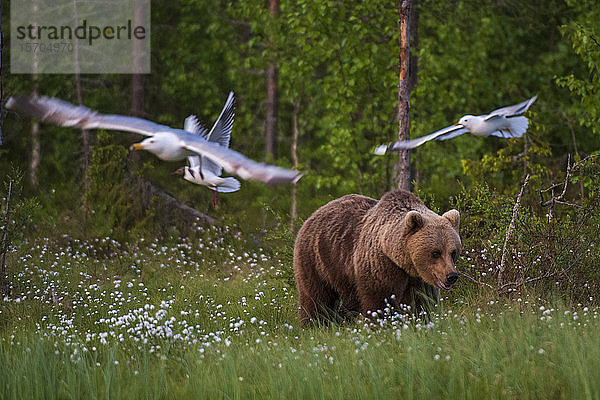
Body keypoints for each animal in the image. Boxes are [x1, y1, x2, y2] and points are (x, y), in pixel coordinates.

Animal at [294, 190, 460, 324]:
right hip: (316, 260)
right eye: (436, 252)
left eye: (453, 252)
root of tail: (312, 215)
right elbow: (379, 300)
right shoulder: (381, 265)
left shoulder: (419, 279)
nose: (451, 276)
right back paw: (314, 324)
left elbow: (422, 301)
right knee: (316, 298)